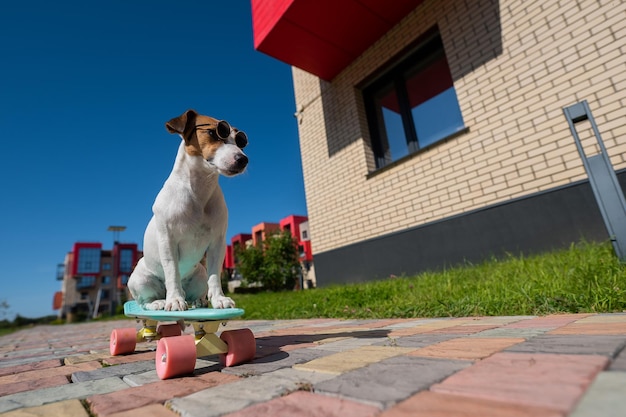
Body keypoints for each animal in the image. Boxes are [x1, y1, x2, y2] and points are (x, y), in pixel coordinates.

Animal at [128, 109, 247, 310]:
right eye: (214, 133)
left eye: (241, 141)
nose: (243, 159)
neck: (199, 189)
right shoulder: (168, 241)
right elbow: (172, 272)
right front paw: (175, 300)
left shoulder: (217, 243)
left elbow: (215, 276)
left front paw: (219, 299)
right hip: (140, 280)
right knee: (145, 302)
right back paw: (160, 301)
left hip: (199, 274)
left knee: (197, 291)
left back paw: (199, 301)